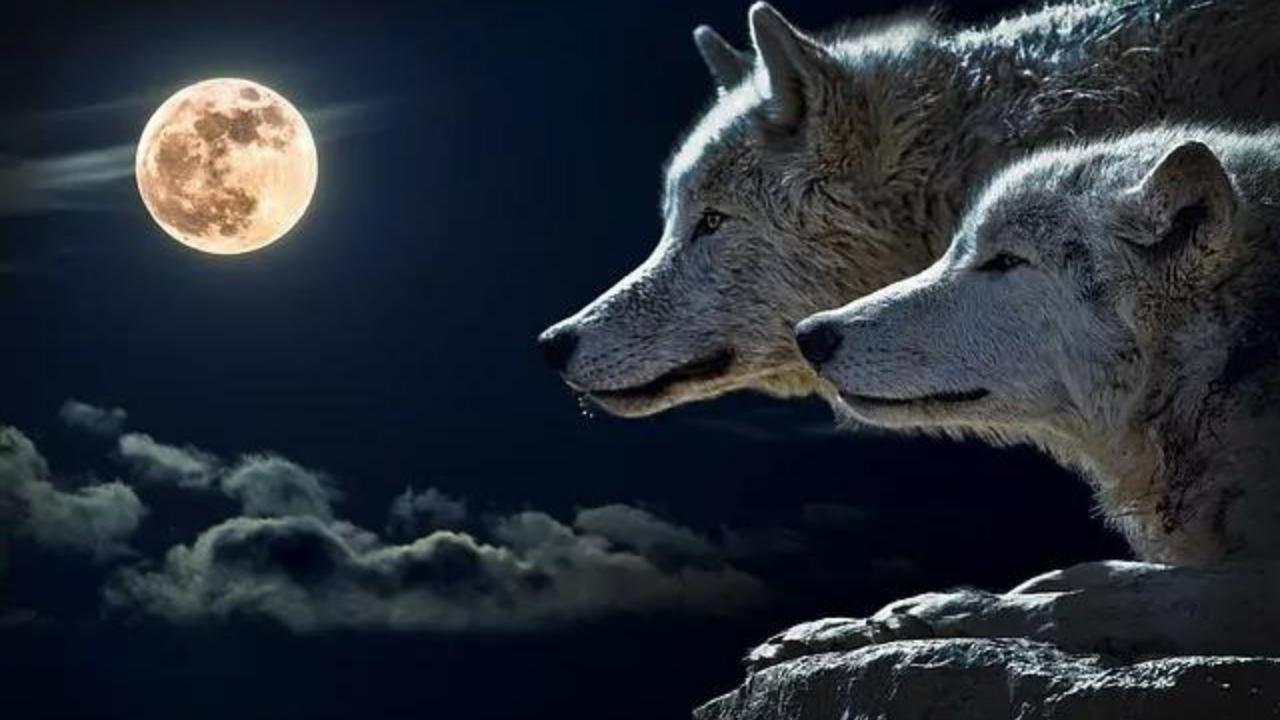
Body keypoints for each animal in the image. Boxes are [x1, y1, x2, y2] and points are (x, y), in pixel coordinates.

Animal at [756, 127, 1280, 666]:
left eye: (1006, 261)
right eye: (956, 250)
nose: (810, 335)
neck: (1223, 367)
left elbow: (1089, 601)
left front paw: (932, 612)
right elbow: (1089, 574)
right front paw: (840, 628)